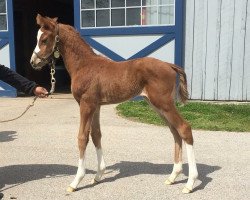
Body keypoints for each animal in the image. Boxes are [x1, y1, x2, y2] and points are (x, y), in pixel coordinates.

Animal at [29, 14, 197, 193]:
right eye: (37, 38)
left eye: (44, 39)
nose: (33, 62)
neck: (84, 64)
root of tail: (170, 66)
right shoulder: (96, 106)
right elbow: (96, 135)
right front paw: (98, 175)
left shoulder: (86, 104)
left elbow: (82, 137)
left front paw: (76, 182)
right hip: (157, 105)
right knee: (174, 131)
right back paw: (173, 177)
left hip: (163, 103)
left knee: (184, 128)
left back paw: (190, 183)